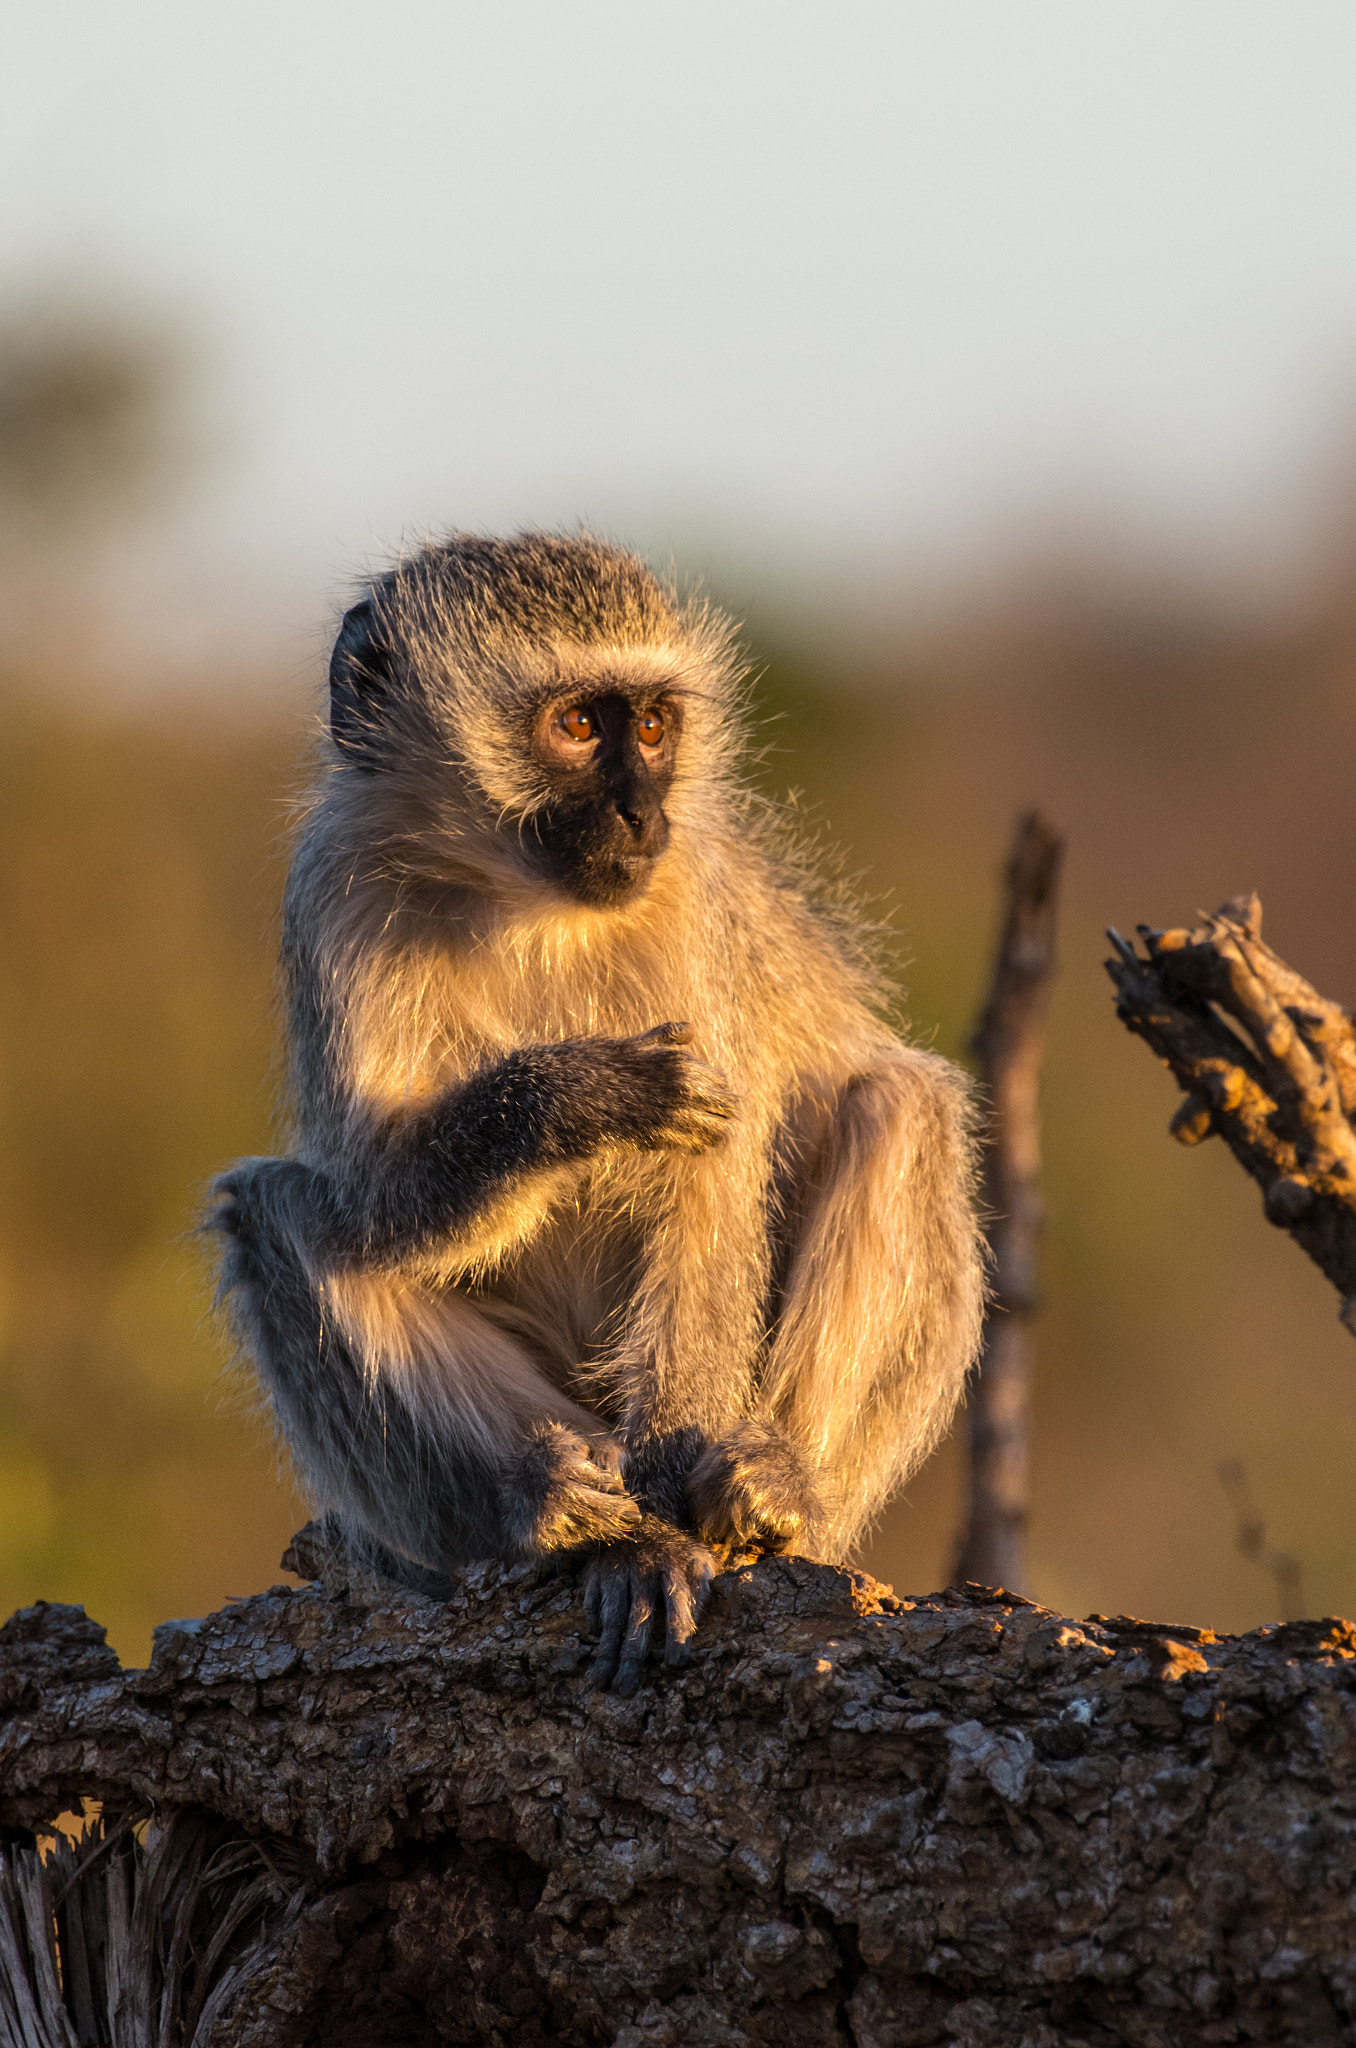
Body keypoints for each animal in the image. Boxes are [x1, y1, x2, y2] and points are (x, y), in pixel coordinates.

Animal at [214, 532, 985, 1695]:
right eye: (578, 725)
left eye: (654, 728)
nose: (640, 813)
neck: (525, 903)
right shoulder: (337, 888)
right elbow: (381, 1202)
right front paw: (582, 1096)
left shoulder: (690, 910)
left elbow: (707, 1206)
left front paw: (666, 1545)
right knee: (272, 1213)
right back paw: (550, 1504)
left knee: (905, 1107)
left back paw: (772, 1491)